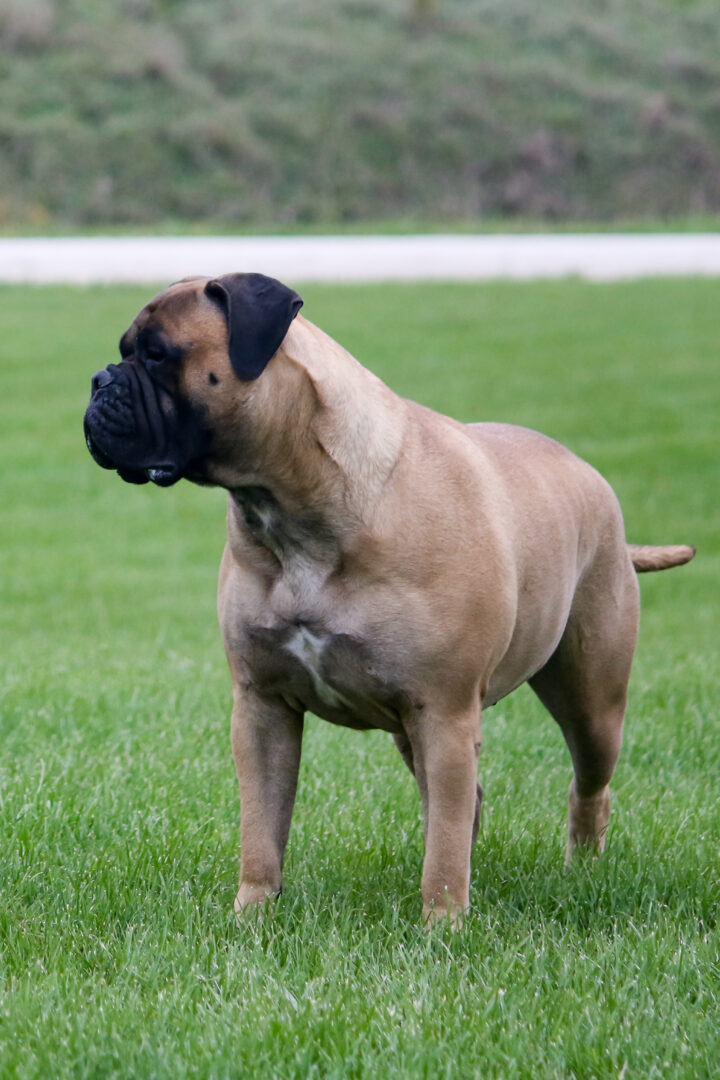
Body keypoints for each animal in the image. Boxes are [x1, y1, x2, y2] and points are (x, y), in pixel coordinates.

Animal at [83, 274, 690, 924]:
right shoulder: (262, 708)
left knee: (585, 784)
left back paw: (583, 866)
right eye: (126, 352)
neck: (294, 502)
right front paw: (253, 913)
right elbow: (261, 829)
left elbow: (443, 837)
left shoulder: (444, 711)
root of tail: (589, 475)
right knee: (462, 803)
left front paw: (442, 926)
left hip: (590, 699)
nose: (98, 380)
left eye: (157, 354)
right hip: (417, 730)